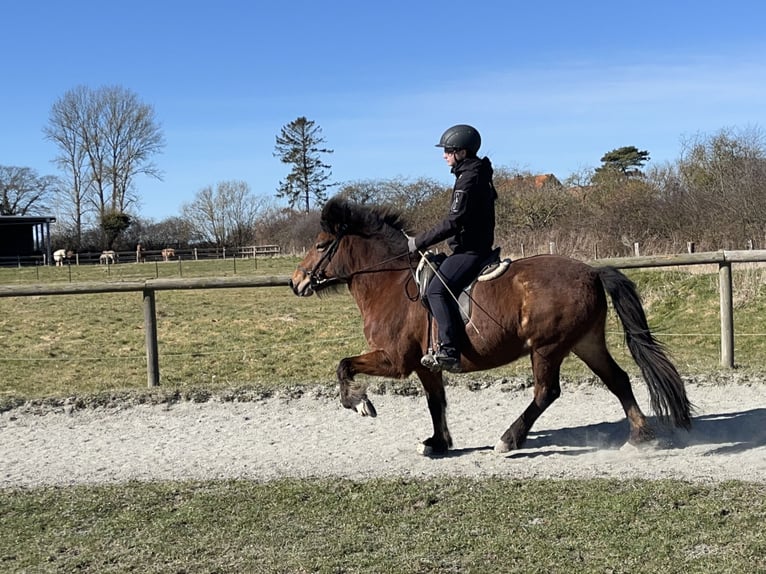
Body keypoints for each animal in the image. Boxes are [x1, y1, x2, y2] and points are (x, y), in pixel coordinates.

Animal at [289, 198, 692, 456]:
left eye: (321, 245)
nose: (296, 282)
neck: (388, 282)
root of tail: (592, 271)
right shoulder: (425, 364)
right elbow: (436, 401)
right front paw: (438, 443)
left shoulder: (395, 360)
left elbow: (343, 365)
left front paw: (359, 403)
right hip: (585, 342)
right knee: (618, 380)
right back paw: (640, 436)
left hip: (547, 347)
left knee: (546, 392)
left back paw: (509, 440)